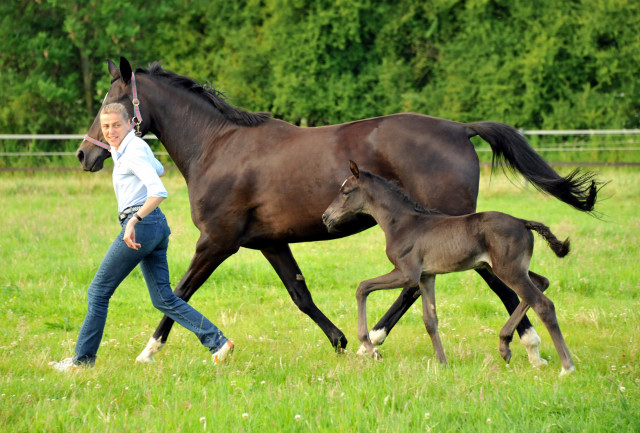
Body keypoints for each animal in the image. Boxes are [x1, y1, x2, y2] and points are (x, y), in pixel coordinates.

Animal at [322, 162, 576, 374]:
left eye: (345, 192)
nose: (325, 217)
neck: (402, 223)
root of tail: (523, 222)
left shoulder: (407, 274)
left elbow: (362, 287)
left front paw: (371, 348)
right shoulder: (427, 276)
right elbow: (430, 320)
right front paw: (442, 363)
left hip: (508, 271)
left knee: (543, 304)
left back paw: (567, 367)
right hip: (509, 268)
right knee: (542, 283)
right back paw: (504, 344)